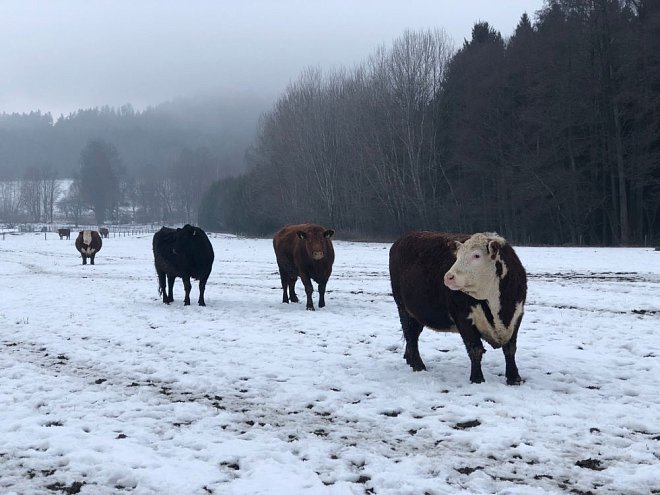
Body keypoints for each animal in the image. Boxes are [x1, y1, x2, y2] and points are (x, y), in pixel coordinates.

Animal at [390, 232, 528, 388]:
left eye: (476, 255)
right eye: (458, 256)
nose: (448, 277)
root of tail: (405, 237)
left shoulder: (516, 316)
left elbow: (510, 349)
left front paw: (514, 378)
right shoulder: (463, 319)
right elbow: (475, 350)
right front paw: (477, 379)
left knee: (413, 335)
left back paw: (410, 360)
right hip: (404, 309)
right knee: (411, 336)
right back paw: (418, 366)